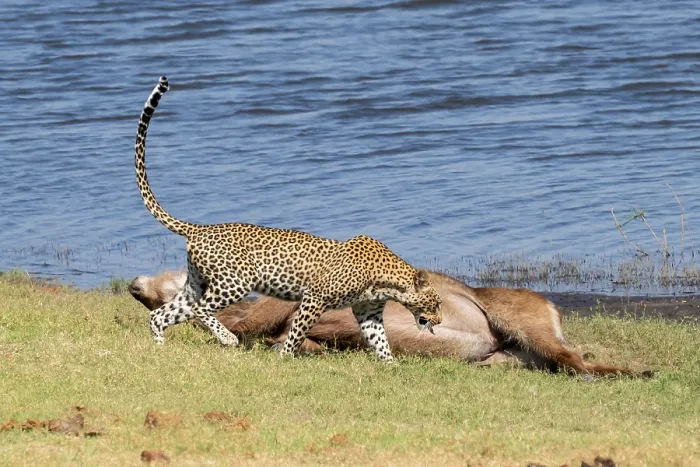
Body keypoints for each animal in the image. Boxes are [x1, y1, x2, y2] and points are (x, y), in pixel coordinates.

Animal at [133, 76, 442, 362]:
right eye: (437, 303)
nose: (439, 321)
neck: (389, 282)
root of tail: (200, 228)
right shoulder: (314, 299)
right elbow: (297, 332)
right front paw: (284, 356)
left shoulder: (369, 313)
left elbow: (380, 342)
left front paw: (392, 367)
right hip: (235, 282)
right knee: (200, 310)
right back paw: (227, 338)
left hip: (197, 285)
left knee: (161, 314)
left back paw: (160, 350)